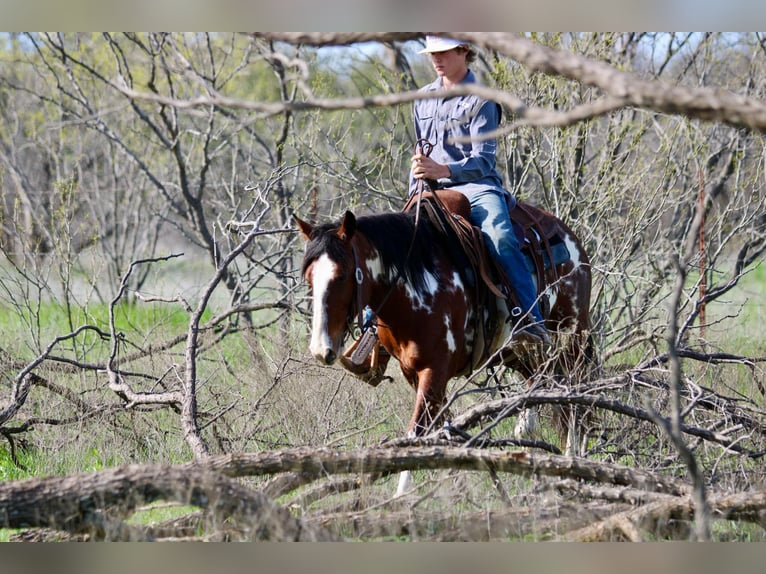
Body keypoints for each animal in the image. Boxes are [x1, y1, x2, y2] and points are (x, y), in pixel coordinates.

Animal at [295, 189, 592, 495]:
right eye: (309, 277)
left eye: (342, 275)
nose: (320, 349)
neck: (415, 286)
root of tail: (566, 234)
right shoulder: (412, 372)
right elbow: (439, 428)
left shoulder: (434, 371)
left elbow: (416, 433)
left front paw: (401, 497)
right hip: (514, 351)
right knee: (538, 381)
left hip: (573, 337)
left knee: (573, 398)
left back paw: (573, 464)